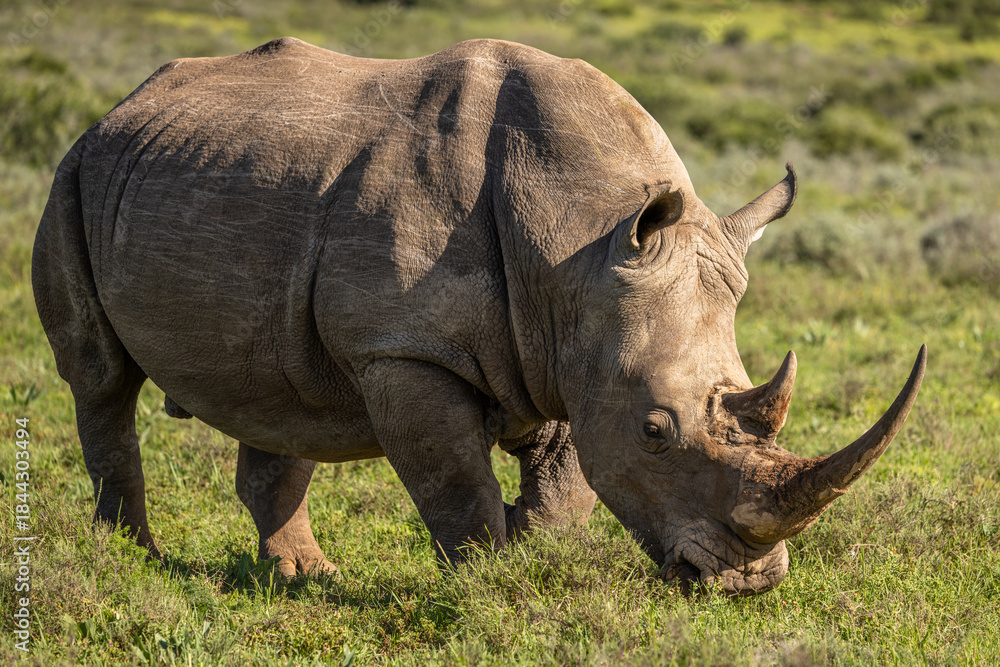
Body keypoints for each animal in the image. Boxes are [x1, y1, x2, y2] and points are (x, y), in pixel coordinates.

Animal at [33, 37, 925, 595]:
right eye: (655, 430)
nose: (743, 584)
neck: (581, 239)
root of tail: (119, 106)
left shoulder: (568, 340)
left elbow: (565, 485)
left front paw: (532, 552)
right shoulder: (403, 347)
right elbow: (454, 480)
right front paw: (491, 581)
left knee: (281, 400)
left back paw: (304, 579)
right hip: (74, 174)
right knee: (101, 381)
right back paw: (135, 558)